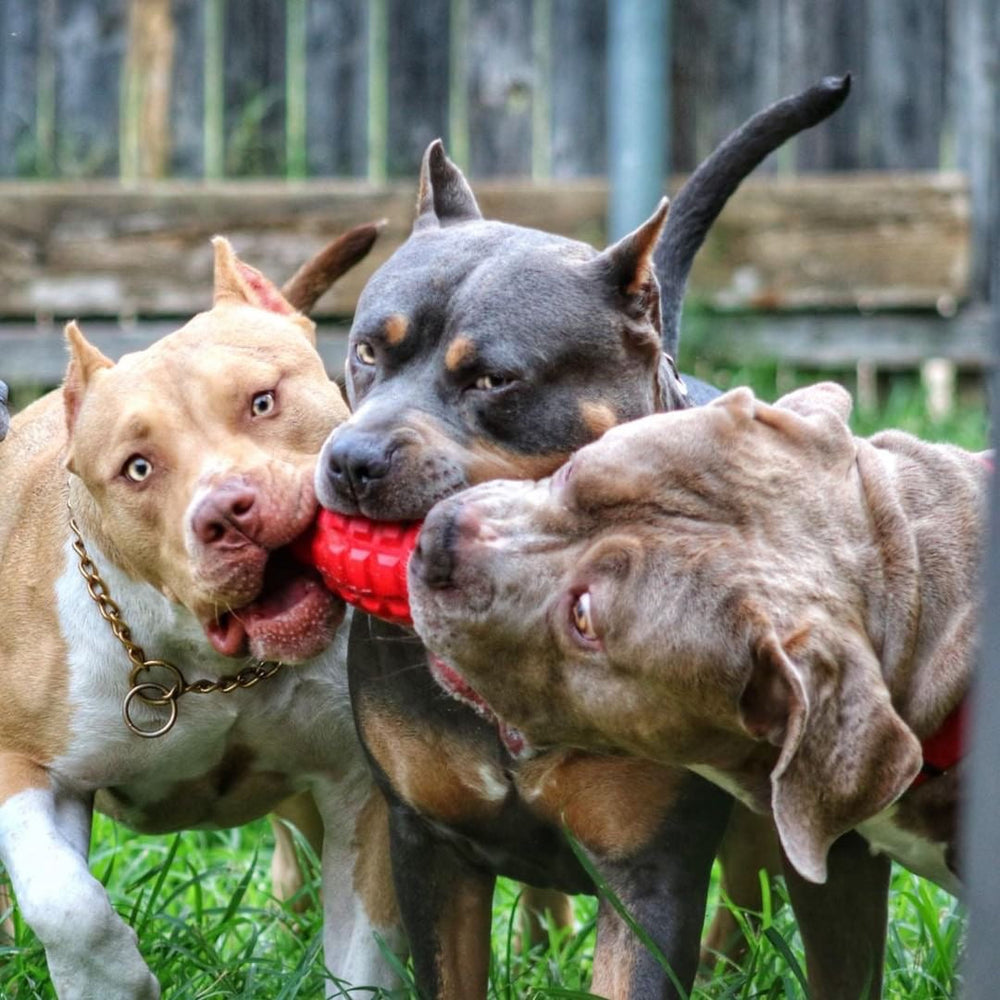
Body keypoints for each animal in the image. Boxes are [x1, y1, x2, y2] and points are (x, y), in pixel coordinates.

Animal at [0, 240, 402, 1000]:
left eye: (263, 401)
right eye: (137, 467)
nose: (227, 512)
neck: (209, 669)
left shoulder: (358, 789)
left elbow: (365, 953)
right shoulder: (25, 765)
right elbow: (67, 903)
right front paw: (110, 982)